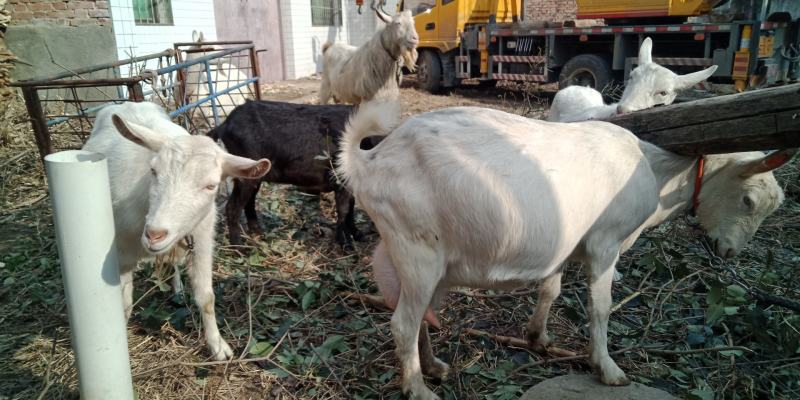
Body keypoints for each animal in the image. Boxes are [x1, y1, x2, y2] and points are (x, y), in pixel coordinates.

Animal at [83, 101, 272, 360]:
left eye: (211, 186)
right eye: (153, 171)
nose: (154, 234)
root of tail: (128, 103)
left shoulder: (202, 242)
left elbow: (206, 297)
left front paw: (218, 347)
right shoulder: (121, 253)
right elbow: (123, 302)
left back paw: (178, 290)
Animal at [209, 100, 366, 247]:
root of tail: (224, 124)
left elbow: (351, 207)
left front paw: (357, 234)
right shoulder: (341, 179)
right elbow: (344, 209)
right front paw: (346, 244)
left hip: (255, 174)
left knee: (249, 203)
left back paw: (259, 233)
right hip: (245, 175)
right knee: (232, 208)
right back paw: (239, 247)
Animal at [338, 99, 792, 396]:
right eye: (748, 200)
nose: (730, 252)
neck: (653, 166)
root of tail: (370, 160)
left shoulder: (563, 245)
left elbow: (550, 289)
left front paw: (537, 338)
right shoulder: (607, 242)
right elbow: (601, 306)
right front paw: (607, 368)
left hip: (434, 262)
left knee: (423, 315)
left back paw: (433, 367)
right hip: (416, 249)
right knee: (403, 322)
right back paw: (417, 388)